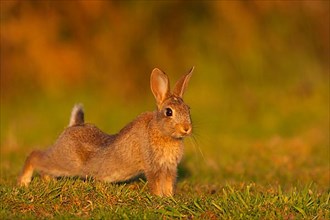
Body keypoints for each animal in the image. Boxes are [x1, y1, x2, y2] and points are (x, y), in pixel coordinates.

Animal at [17, 67, 193, 196]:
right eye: (169, 112)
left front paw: (168, 199)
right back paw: (24, 182)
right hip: (65, 161)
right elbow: (156, 185)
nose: (186, 128)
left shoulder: (169, 168)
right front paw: (158, 199)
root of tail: (73, 125)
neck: (162, 132)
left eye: (188, 109)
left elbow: (168, 185)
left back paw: (49, 182)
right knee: (35, 156)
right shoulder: (152, 167)